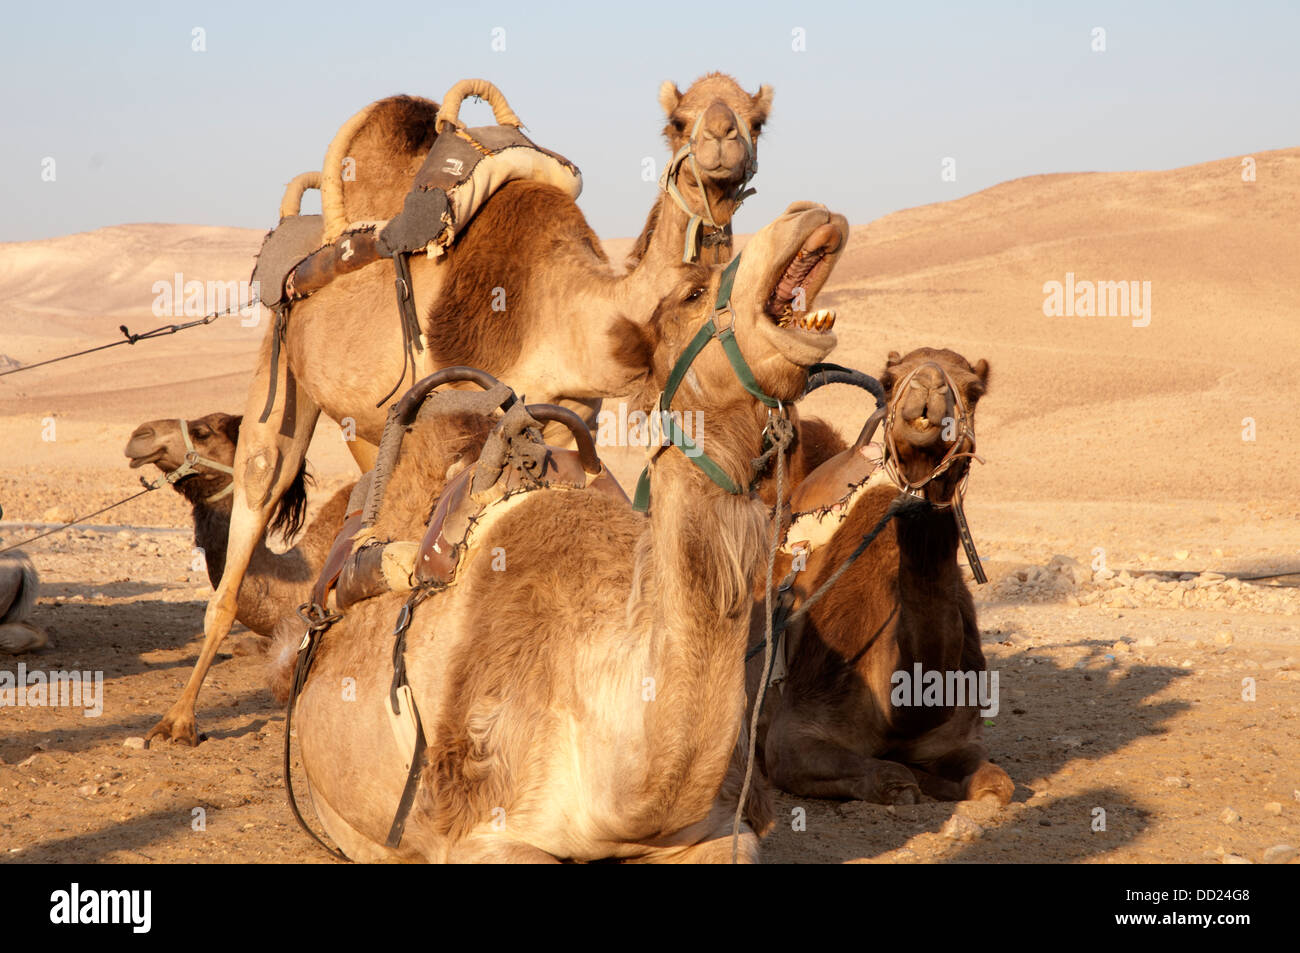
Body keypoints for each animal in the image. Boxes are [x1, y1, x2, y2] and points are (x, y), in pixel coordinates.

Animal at [147, 74, 774, 746]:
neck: (568, 311)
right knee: (259, 489)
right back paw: (178, 720)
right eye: (678, 121)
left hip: (366, 420)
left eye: (757, 120)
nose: (721, 138)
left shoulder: (567, 417)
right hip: (282, 362)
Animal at [755, 347, 1016, 806]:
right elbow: (891, 778)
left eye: (974, 390)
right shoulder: (795, 732)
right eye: (889, 380)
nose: (928, 383)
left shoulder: (957, 736)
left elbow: (996, 784)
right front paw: (907, 784)